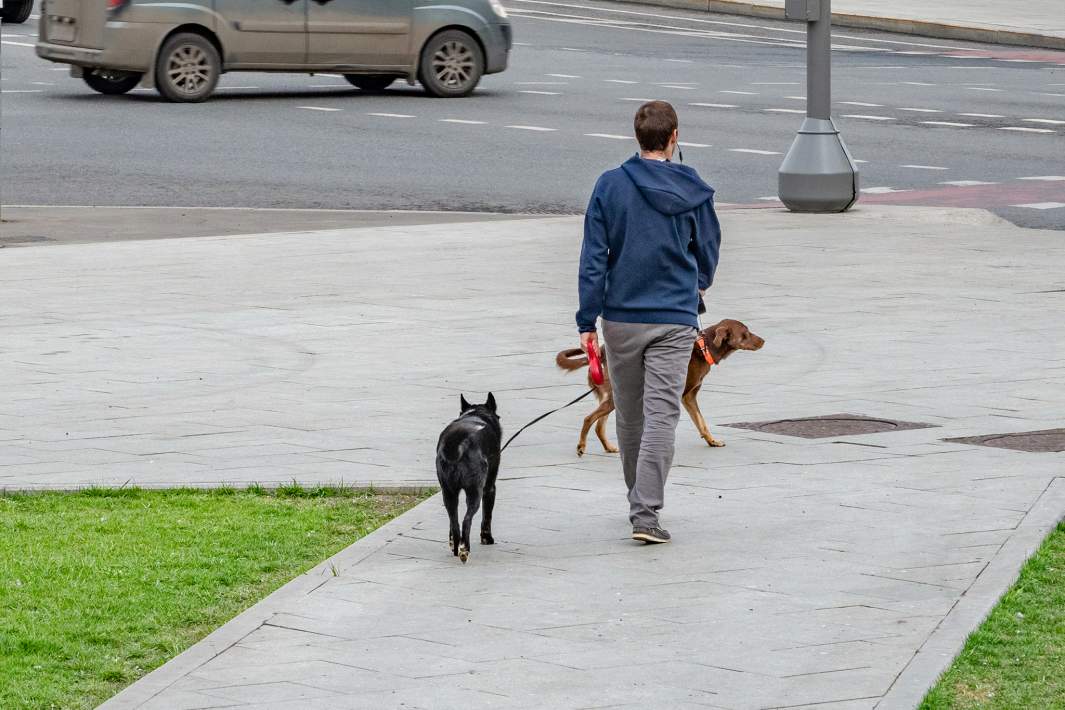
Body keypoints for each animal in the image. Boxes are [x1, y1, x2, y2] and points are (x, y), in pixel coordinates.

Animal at [432, 391, 498, 562]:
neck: (476, 414)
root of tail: (456, 442)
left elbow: (451, 524)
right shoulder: (490, 488)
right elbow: (487, 516)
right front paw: (487, 539)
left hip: (448, 493)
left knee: (455, 522)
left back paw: (457, 548)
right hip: (475, 491)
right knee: (466, 520)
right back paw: (464, 550)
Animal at [558, 317, 766, 453]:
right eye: (745, 334)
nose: (763, 340)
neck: (703, 348)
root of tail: (599, 353)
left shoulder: (689, 396)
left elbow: (701, 422)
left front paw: (712, 441)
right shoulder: (683, 395)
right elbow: (697, 420)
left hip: (612, 396)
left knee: (599, 425)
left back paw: (609, 447)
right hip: (617, 396)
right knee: (589, 419)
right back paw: (582, 446)